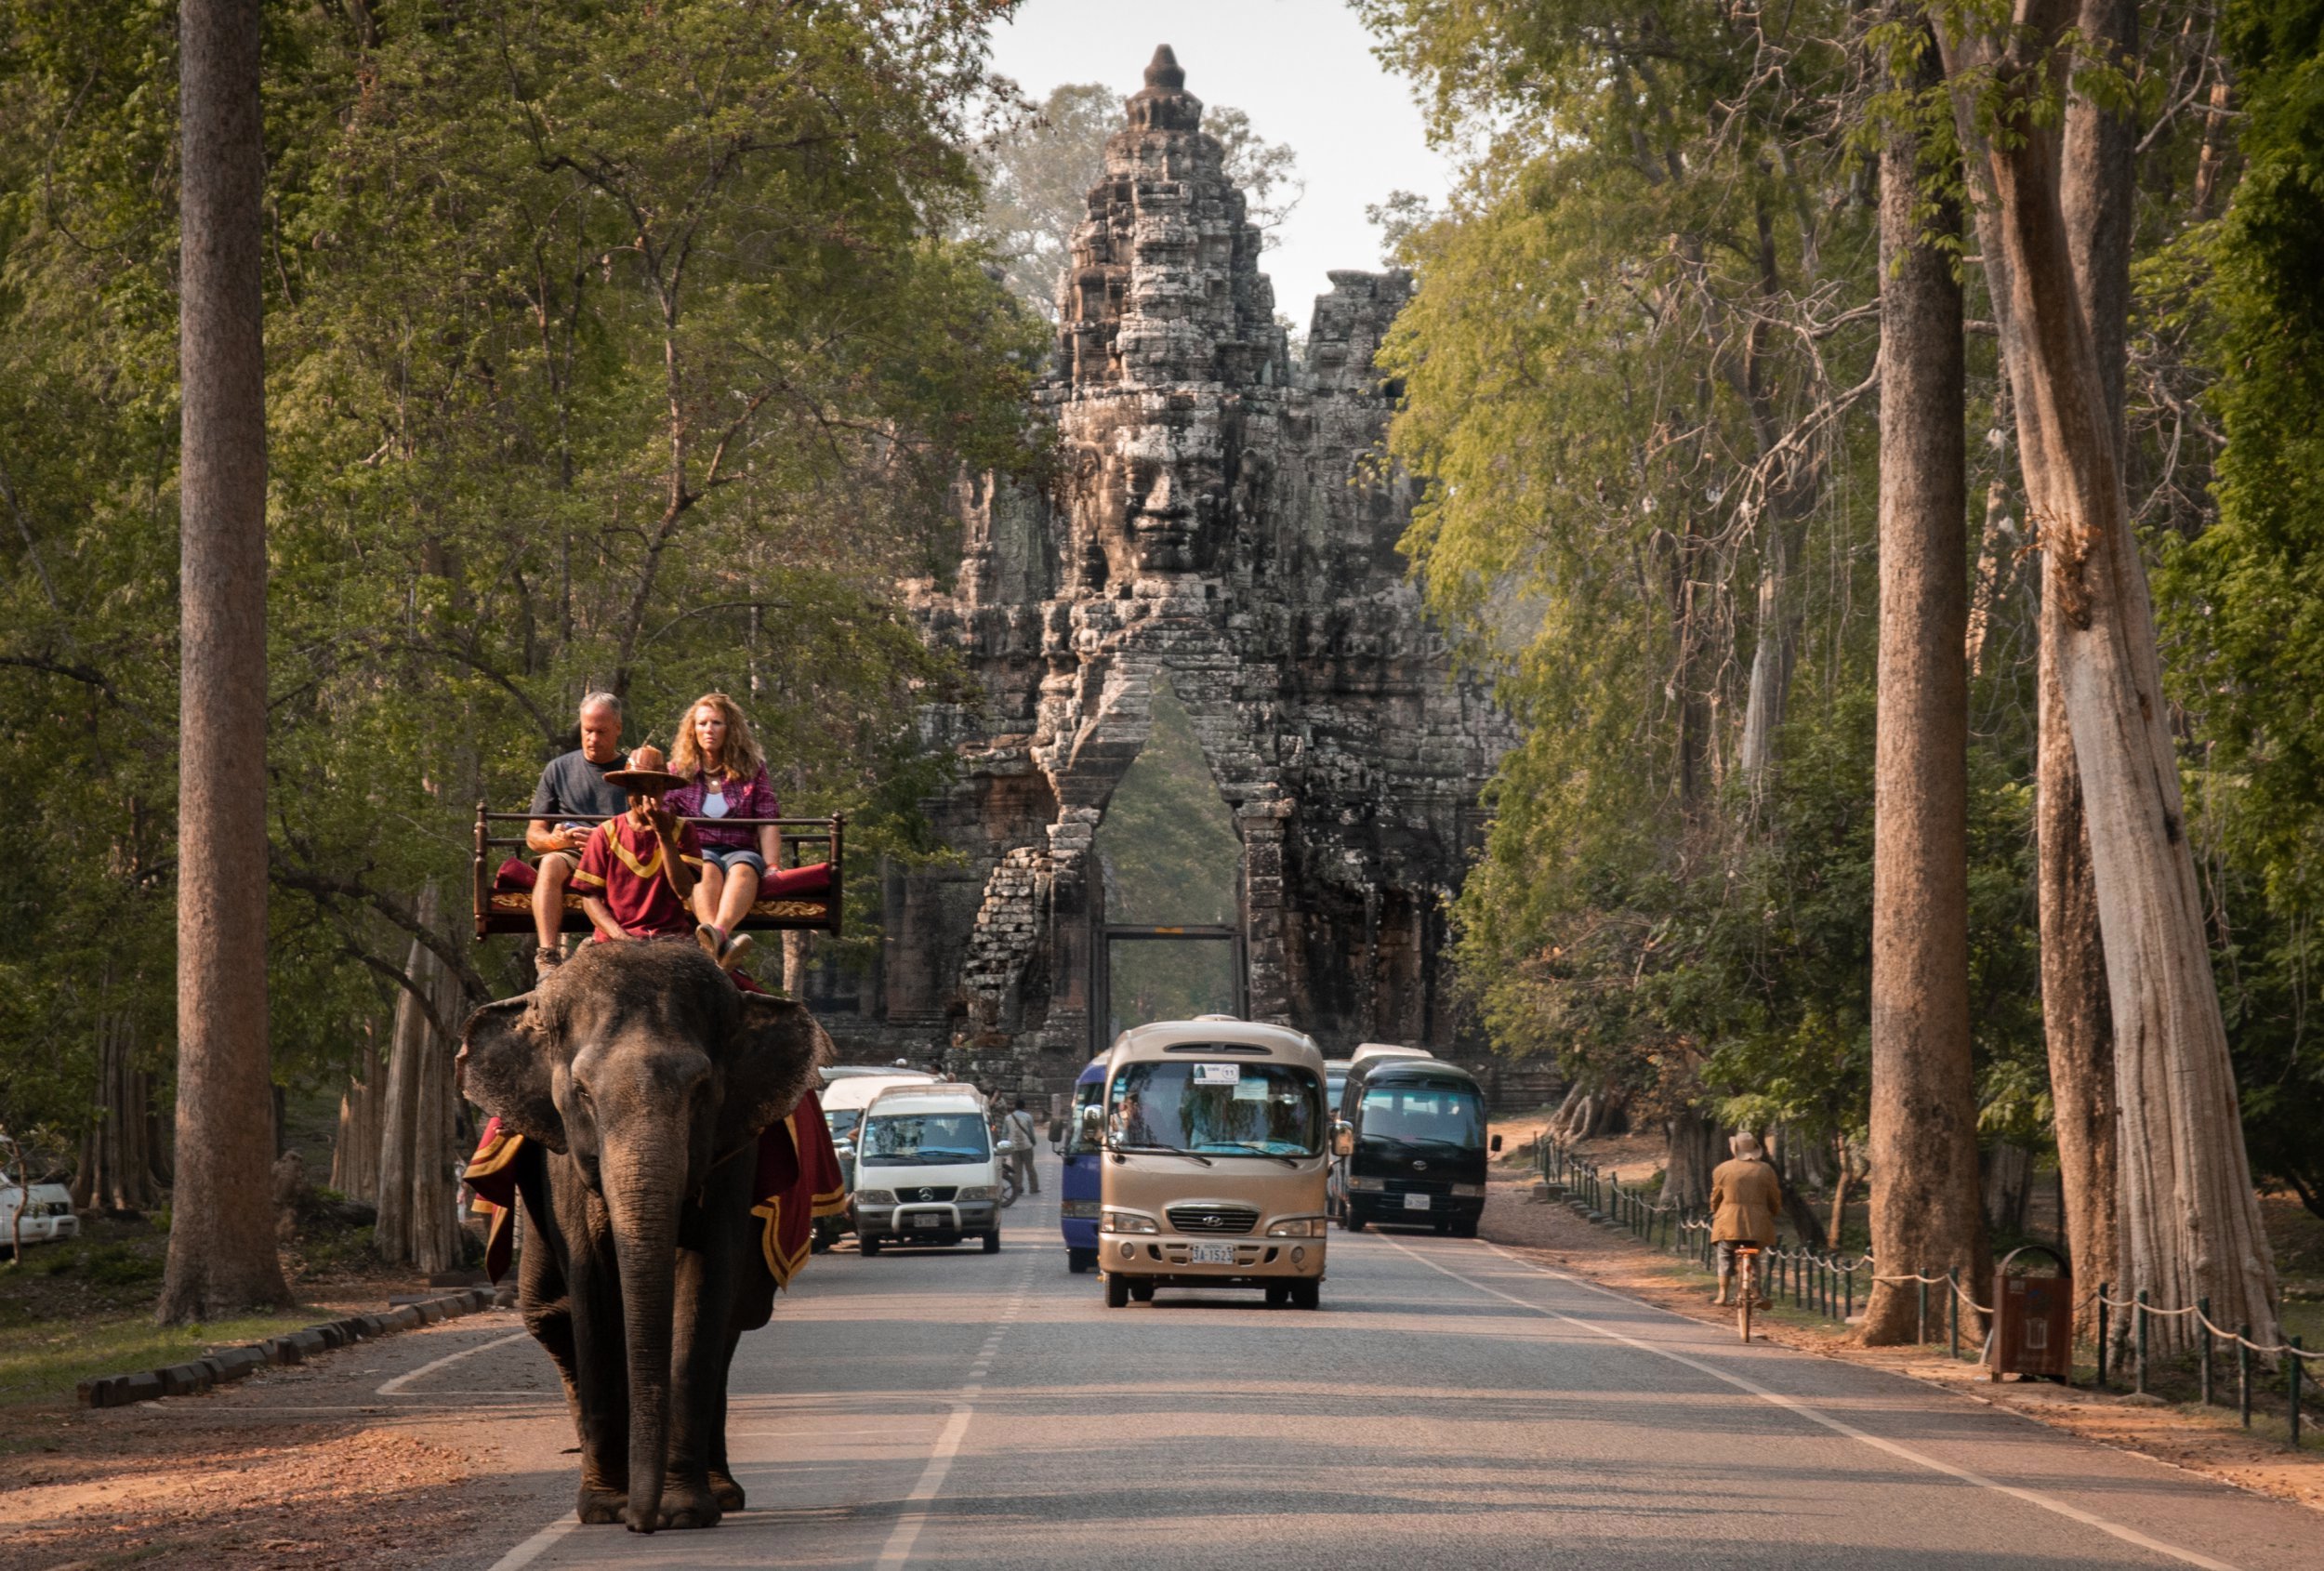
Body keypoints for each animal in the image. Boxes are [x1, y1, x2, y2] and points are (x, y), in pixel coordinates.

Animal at [460, 939, 827, 1525]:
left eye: (701, 1089)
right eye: (582, 1093)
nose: (643, 1523)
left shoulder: (732, 1155)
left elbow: (703, 1285)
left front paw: (683, 1512)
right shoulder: (561, 1163)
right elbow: (591, 1287)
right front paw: (605, 1509)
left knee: (735, 1317)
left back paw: (720, 1493)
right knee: (548, 1314)